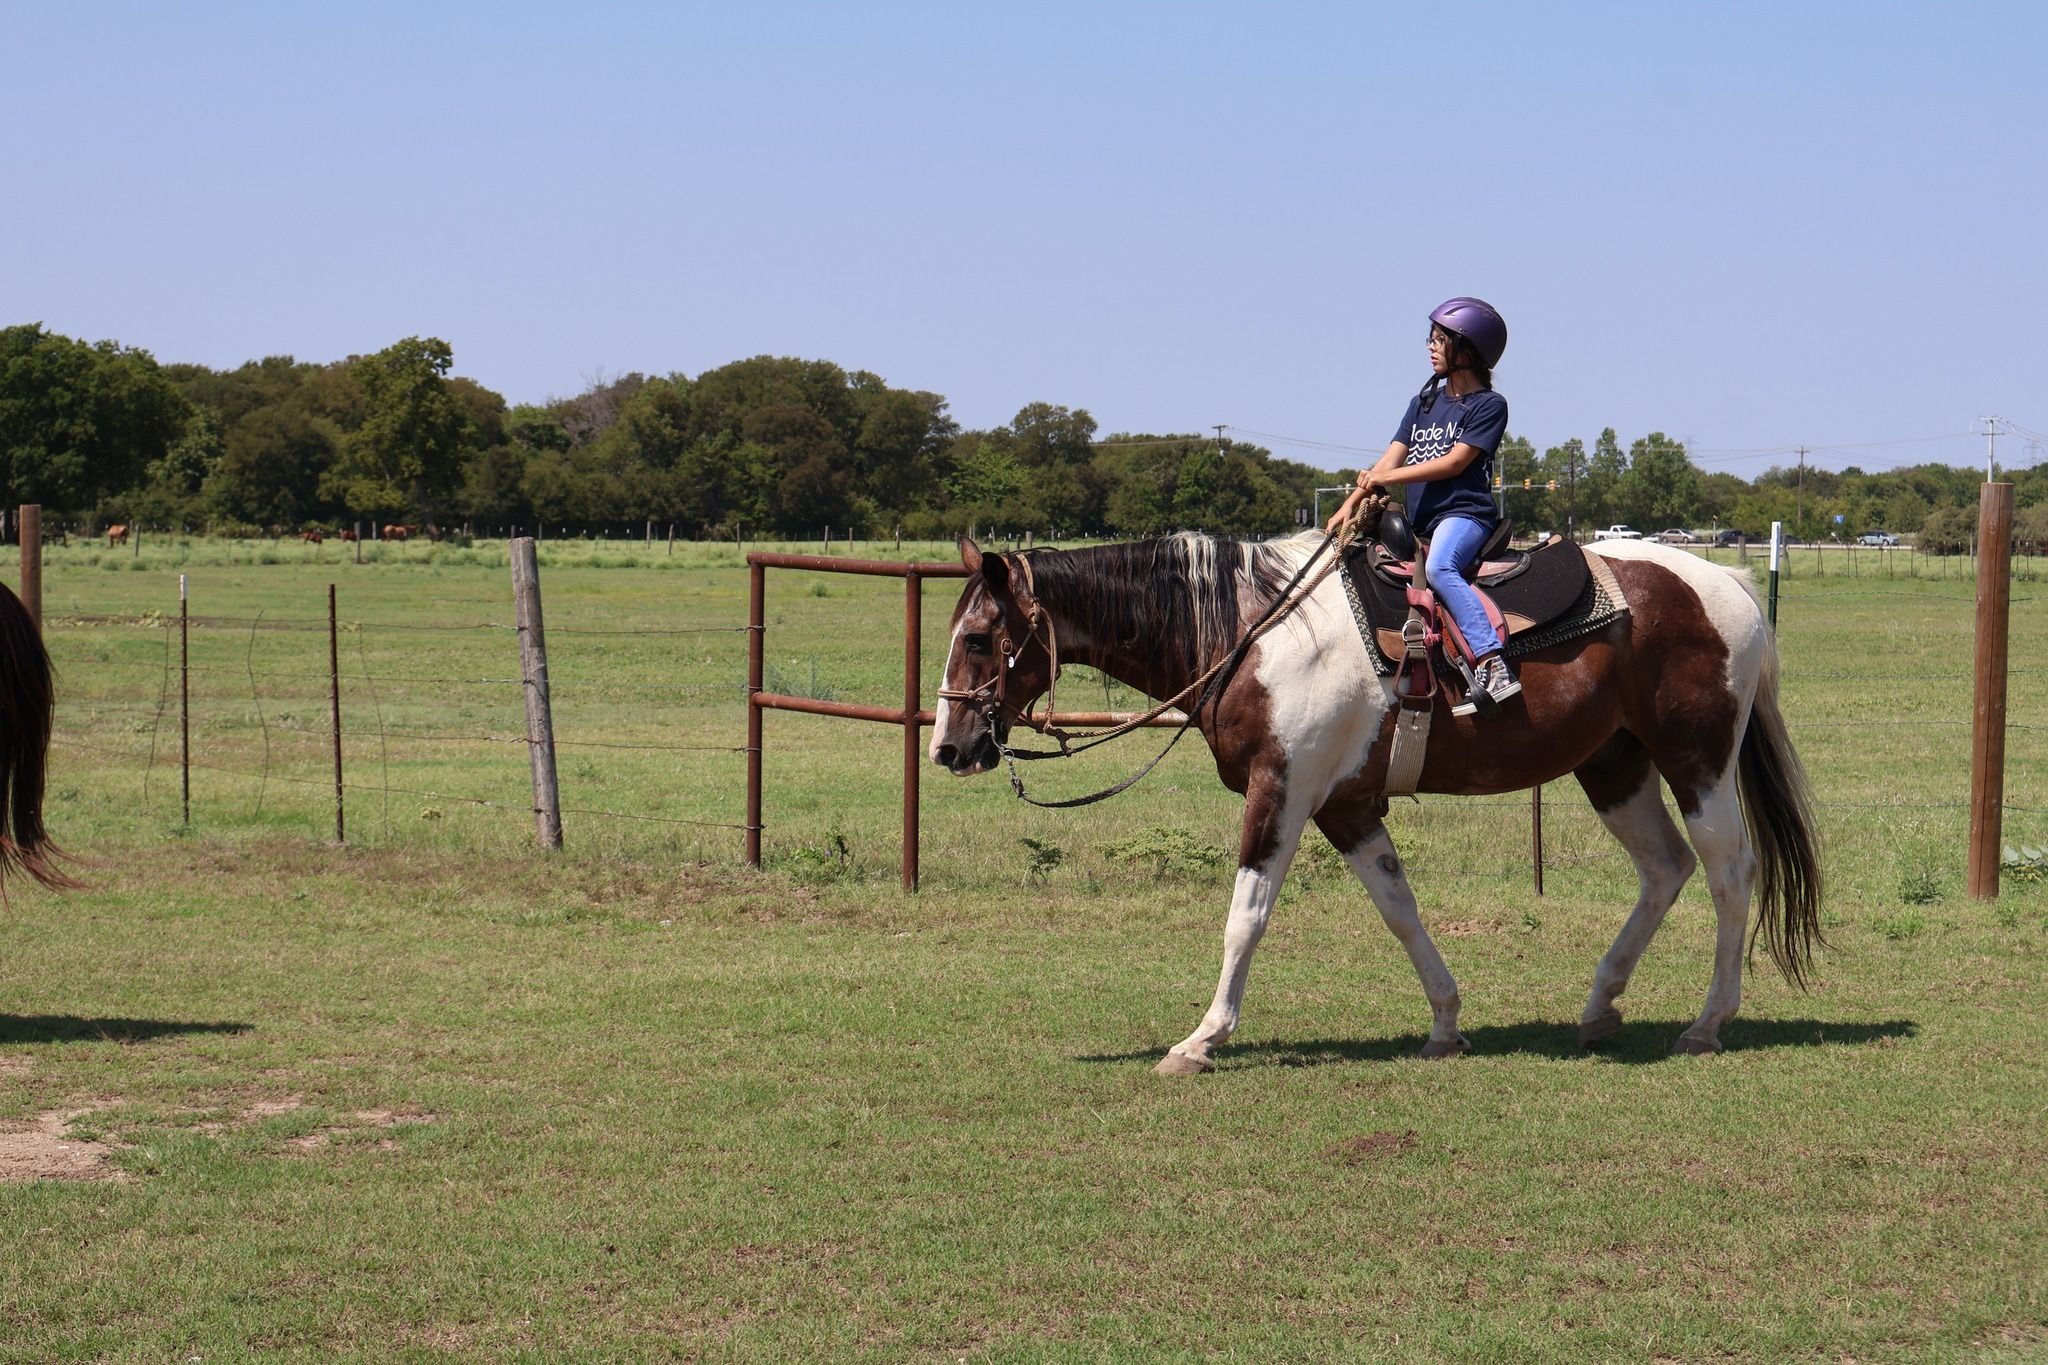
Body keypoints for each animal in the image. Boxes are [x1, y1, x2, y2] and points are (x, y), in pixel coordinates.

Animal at [929, 532, 1821, 1073]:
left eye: (978, 637)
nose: (948, 747)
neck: (1252, 634)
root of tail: (1726, 582)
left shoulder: (1283, 792)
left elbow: (1246, 917)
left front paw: (1202, 1038)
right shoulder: (1347, 808)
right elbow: (1400, 910)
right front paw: (1446, 1022)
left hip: (1696, 761)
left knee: (1729, 874)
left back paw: (1707, 1021)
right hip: (1613, 767)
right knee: (1665, 869)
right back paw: (1601, 1002)